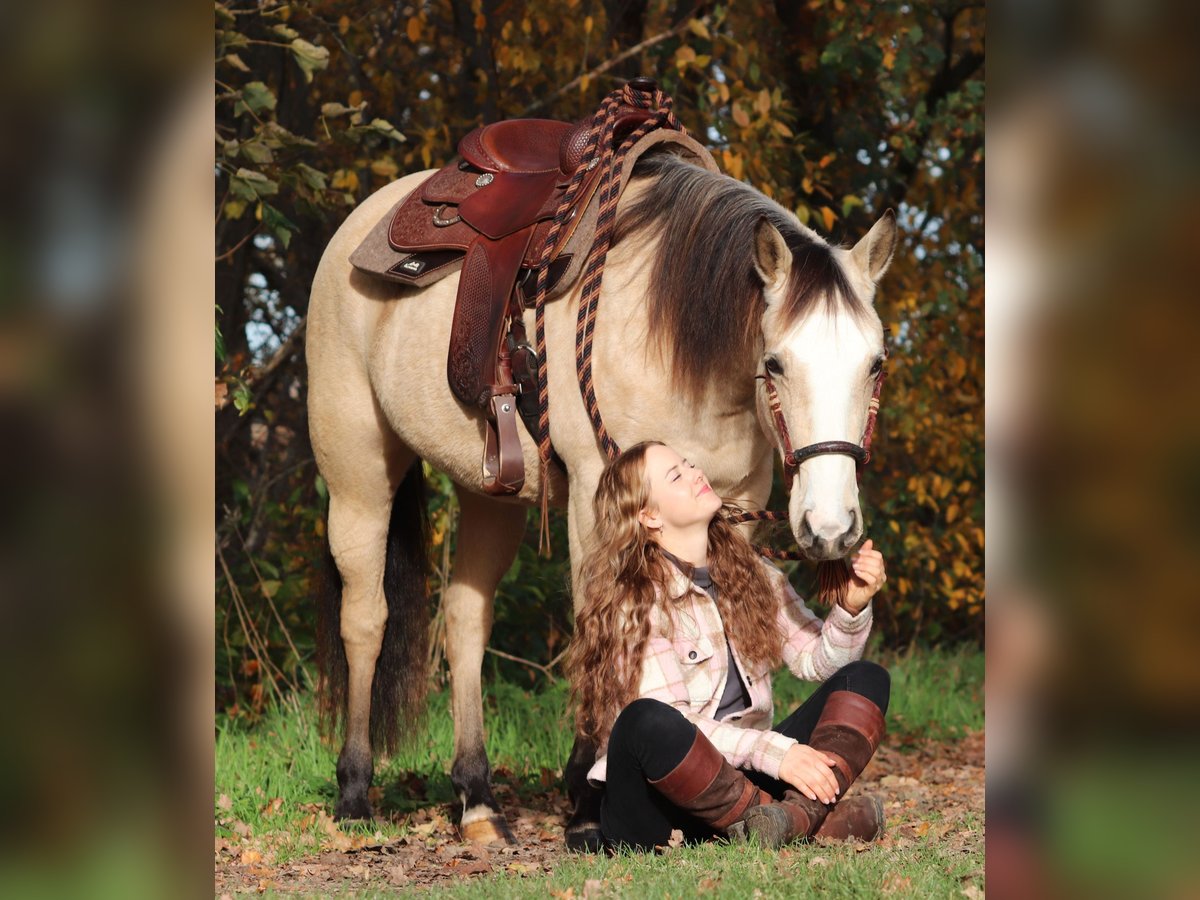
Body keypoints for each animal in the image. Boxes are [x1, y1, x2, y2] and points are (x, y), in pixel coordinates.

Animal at [306, 148, 896, 848]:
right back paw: (354, 793)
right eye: (775, 363)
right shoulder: (597, 495)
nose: (831, 530)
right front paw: (588, 796)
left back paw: (478, 801)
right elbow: (604, 629)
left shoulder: (734, 509)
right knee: (365, 619)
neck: (677, 346)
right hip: (359, 475)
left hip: (491, 495)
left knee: (464, 620)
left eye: (876, 364)